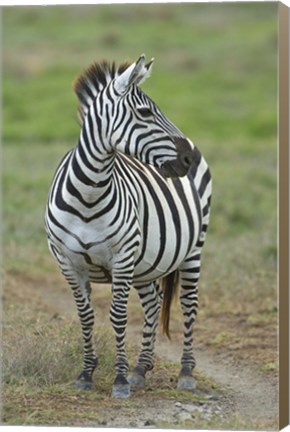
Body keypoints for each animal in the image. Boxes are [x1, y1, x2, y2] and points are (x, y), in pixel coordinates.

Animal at [46, 54, 213, 398]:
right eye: (146, 112)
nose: (187, 159)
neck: (88, 194)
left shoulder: (122, 258)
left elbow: (118, 316)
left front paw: (120, 379)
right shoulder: (68, 262)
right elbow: (86, 316)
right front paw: (87, 373)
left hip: (193, 249)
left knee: (189, 304)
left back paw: (186, 372)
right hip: (146, 263)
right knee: (153, 303)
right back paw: (141, 367)